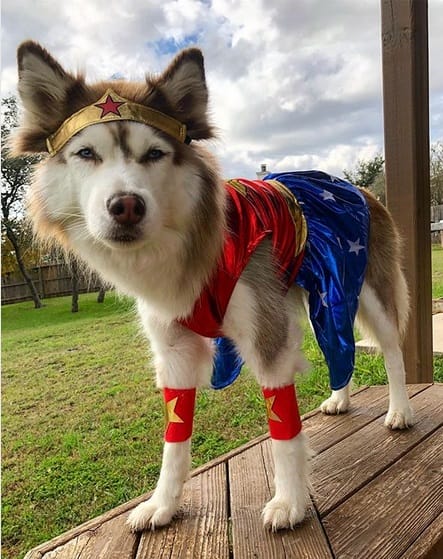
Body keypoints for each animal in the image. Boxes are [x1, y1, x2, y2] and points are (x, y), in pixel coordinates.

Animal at [13, 41, 414, 532]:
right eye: (86, 153)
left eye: (155, 154)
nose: (126, 206)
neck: (186, 248)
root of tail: (356, 187)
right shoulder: (173, 349)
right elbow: (174, 436)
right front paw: (163, 505)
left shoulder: (267, 335)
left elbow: (284, 428)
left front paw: (290, 501)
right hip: (321, 295)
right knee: (338, 347)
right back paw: (340, 398)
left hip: (364, 288)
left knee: (391, 350)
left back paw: (400, 412)